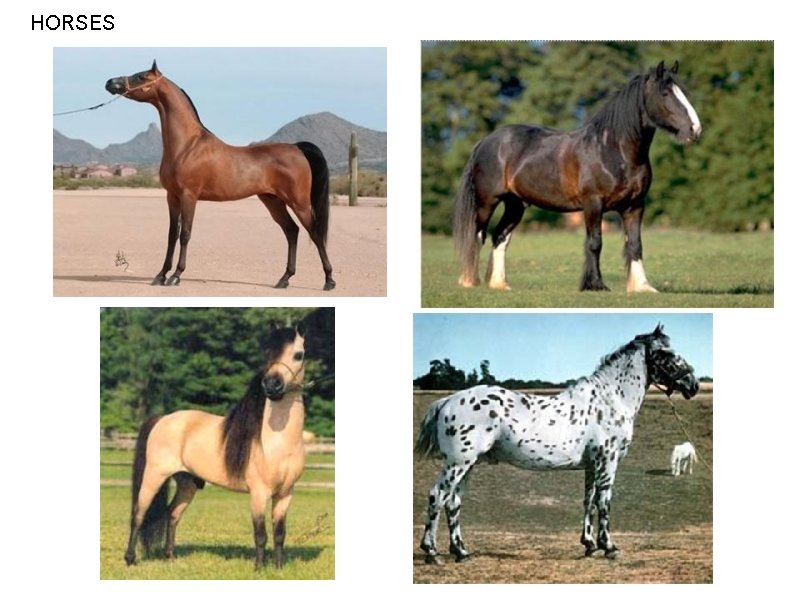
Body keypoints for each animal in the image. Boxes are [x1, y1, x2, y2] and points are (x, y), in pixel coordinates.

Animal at [105, 61, 335, 291]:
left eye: (141, 76)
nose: (110, 82)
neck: (187, 146)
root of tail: (297, 148)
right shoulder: (172, 196)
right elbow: (171, 235)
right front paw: (161, 275)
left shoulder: (189, 196)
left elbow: (185, 234)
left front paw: (176, 275)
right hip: (273, 201)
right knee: (292, 231)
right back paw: (284, 279)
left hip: (299, 203)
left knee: (315, 234)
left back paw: (329, 280)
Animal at [124, 323, 309, 569]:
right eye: (268, 353)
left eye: (299, 355)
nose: (272, 385)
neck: (278, 443)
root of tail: (163, 419)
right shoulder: (258, 494)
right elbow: (260, 534)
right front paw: (259, 568)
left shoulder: (285, 494)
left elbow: (279, 534)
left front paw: (278, 568)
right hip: (154, 475)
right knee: (139, 513)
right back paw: (130, 559)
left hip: (186, 483)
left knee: (173, 514)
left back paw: (170, 556)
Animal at [415, 324, 698, 564]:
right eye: (666, 352)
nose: (693, 385)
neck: (611, 399)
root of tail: (448, 401)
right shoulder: (607, 461)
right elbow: (604, 501)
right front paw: (609, 547)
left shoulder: (592, 464)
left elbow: (589, 500)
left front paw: (589, 545)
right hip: (458, 463)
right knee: (437, 496)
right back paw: (432, 553)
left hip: (468, 464)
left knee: (453, 502)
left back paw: (461, 552)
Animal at [453, 61, 702, 293]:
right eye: (665, 93)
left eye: (683, 92)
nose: (695, 129)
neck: (612, 149)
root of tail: (486, 141)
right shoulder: (593, 204)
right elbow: (595, 242)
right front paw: (595, 284)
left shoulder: (635, 206)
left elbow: (635, 244)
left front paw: (641, 286)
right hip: (487, 202)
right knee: (477, 235)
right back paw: (469, 281)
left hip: (515, 205)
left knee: (500, 237)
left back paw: (499, 284)